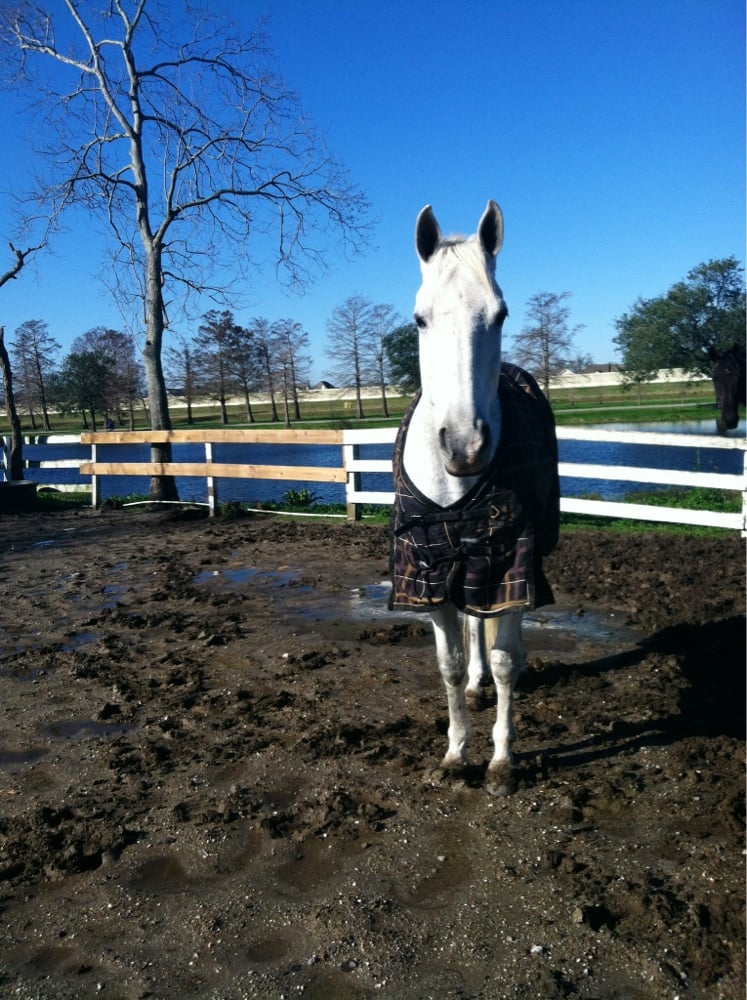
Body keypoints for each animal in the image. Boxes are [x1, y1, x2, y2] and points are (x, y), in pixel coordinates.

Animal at [389, 201, 560, 796]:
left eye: (501, 314)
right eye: (420, 319)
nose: (465, 447)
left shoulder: (512, 564)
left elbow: (505, 658)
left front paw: (502, 762)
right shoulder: (428, 572)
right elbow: (449, 662)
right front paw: (455, 752)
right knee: (471, 628)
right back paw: (473, 687)